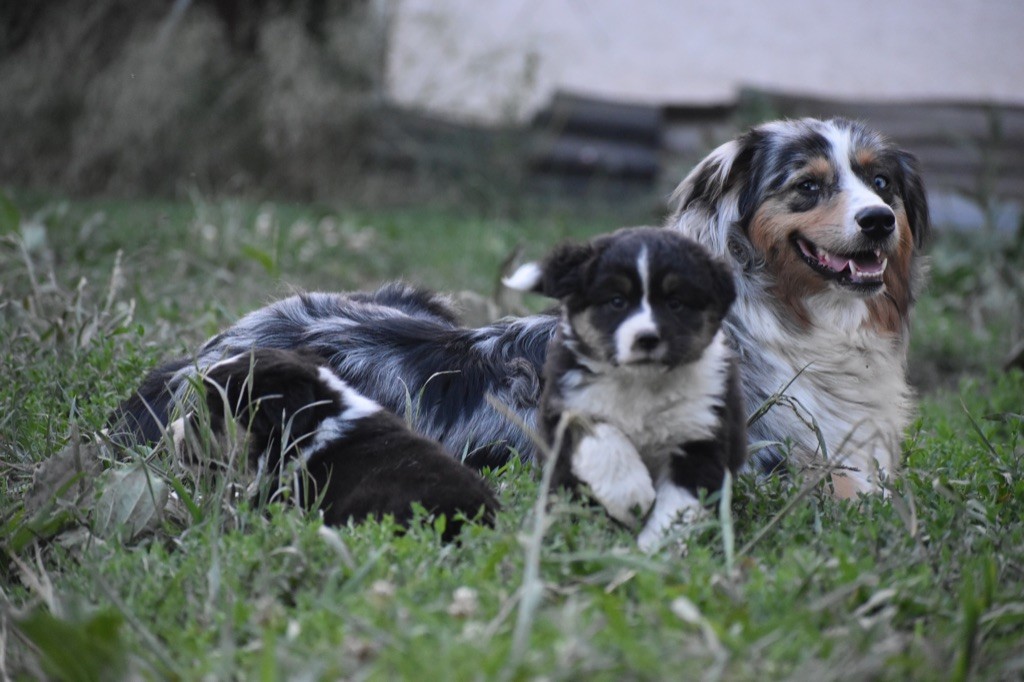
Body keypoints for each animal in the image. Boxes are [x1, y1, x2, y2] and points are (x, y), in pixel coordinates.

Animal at [503, 225, 745, 548]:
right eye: (617, 301)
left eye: (675, 303)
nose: (647, 338)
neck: (642, 382)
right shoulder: (566, 406)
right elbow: (603, 438)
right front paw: (632, 497)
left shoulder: (700, 435)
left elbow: (678, 504)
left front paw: (655, 548)